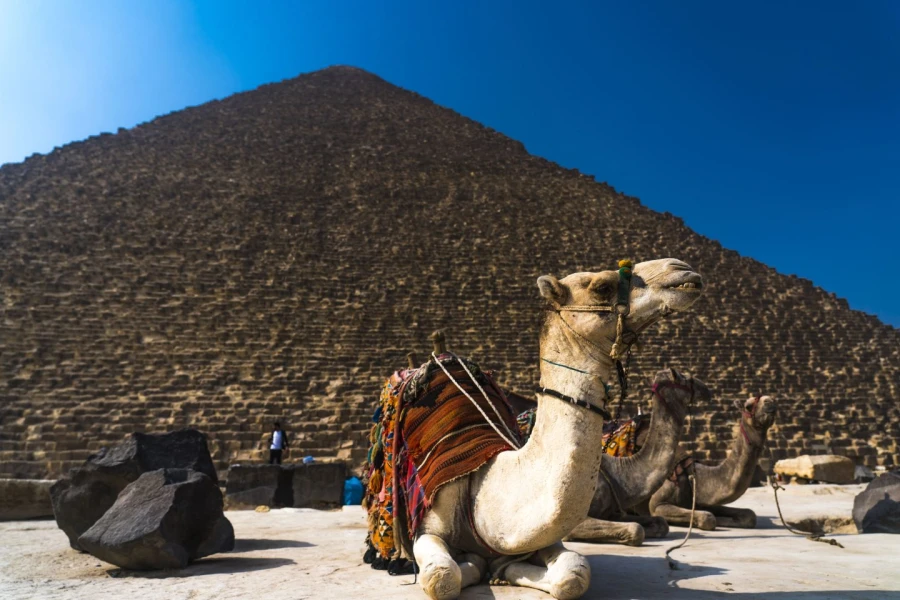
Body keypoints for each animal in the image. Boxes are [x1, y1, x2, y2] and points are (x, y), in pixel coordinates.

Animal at [564, 368, 710, 546]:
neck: (620, 473)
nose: (706, 389)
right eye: (685, 378)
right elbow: (636, 529)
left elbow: (661, 523)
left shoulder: (613, 511)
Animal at [647, 394, 777, 530]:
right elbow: (708, 517)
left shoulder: (705, 501)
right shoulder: (657, 505)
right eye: (748, 406)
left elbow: (750, 515)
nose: (769, 401)